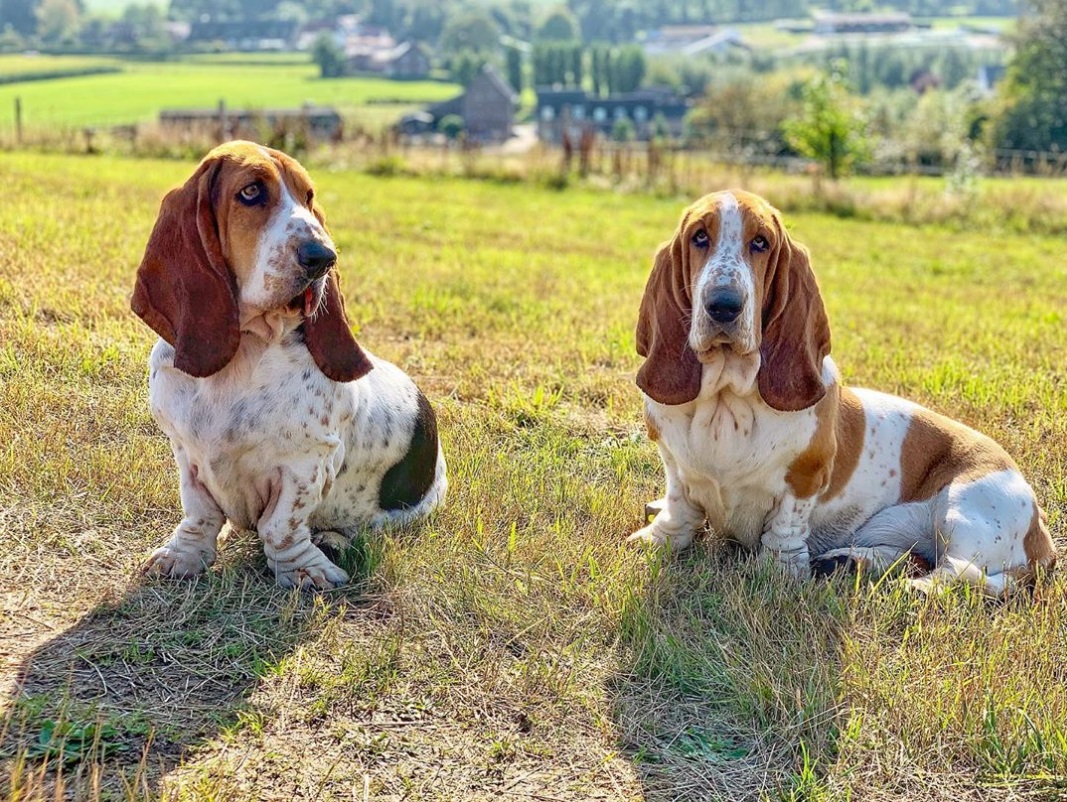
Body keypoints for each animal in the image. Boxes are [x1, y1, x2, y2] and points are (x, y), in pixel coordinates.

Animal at [133, 140, 446, 588]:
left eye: (309, 196)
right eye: (250, 192)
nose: (323, 257)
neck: (247, 351)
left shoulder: (305, 463)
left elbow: (280, 526)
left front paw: (304, 571)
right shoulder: (185, 452)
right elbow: (200, 513)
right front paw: (183, 555)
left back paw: (333, 539)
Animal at [627, 189, 1054, 597]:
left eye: (760, 243)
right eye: (699, 237)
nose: (723, 305)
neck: (726, 399)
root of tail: (1042, 533)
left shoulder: (803, 479)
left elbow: (784, 529)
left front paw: (778, 572)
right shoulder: (675, 467)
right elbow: (679, 508)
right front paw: (657, 540)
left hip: (962, 511)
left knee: (974, 576)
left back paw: (915, 588)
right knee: (907, 555)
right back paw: (846, 561)